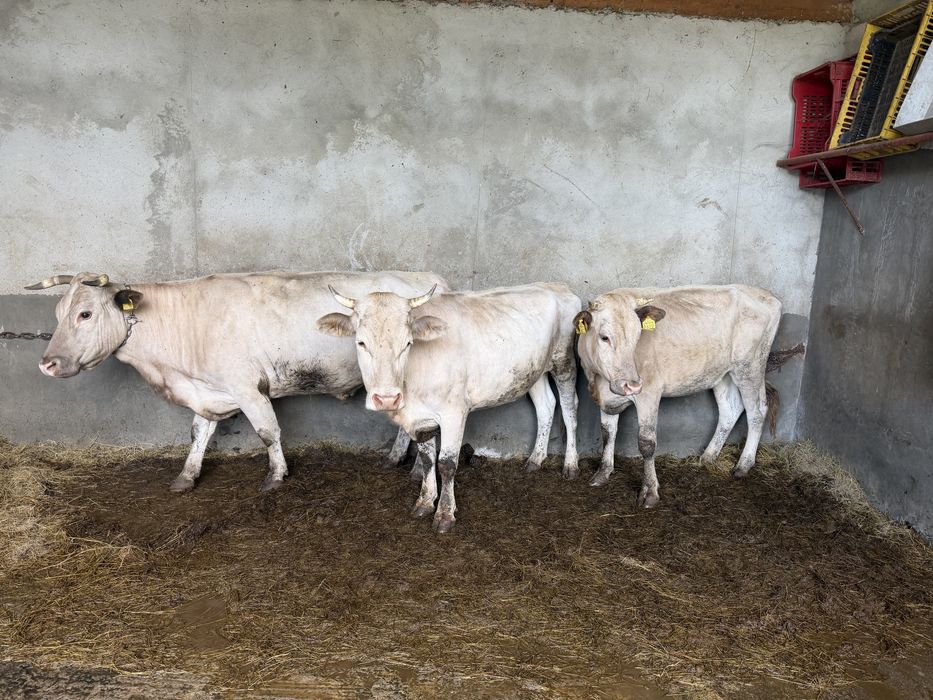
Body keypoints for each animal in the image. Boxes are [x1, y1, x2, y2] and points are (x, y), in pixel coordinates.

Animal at [25, 270, 449, 492]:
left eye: (84, 313)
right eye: (58, 312)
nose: (47, 364)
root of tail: (428, 277)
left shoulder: (248, 386)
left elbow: (268, 432)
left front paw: (275, 476)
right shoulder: (209, 389)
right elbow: (198, 433)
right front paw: (186, 476)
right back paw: (397, 458)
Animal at [316, 283, 582, 533]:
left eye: (408, 343)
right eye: (361, 342)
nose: (387, 398)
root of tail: (556, 286)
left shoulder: (455, 412)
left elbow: (446, 464)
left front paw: (445, 514)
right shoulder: (422, 418)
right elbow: (427, 459)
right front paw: (425, 502)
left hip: (564, 362)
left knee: (570, 410)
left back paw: (570, 464)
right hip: (534, 371)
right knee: (545, 406)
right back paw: (536, 459)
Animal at [574, 285, 782, 508]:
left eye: (637, 337)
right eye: (604, 337)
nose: (632, 385)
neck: (599, 380)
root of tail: (765, 295)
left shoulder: (650, 392)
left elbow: (646, 443)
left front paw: (649, 492)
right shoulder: (607, 399)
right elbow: (607, 433)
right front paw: (603, 473)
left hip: (750, 368)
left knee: (757, 412)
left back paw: (744, 464)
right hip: (722, 374)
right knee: (730, 411)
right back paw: (708, 456)